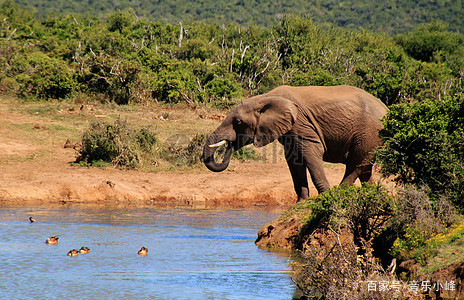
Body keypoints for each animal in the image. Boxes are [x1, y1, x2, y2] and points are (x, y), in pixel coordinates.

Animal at [203, 85, 388, 202]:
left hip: (369, 132)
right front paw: (301, 202)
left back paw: (339, 193)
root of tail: (386, 108)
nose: (229, 145)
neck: (264, 98)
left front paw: (325, 197)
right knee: (364, 168)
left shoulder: (301, 123)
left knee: (356, 164)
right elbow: (294, 160)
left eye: (238, 122)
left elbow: (311, 153)